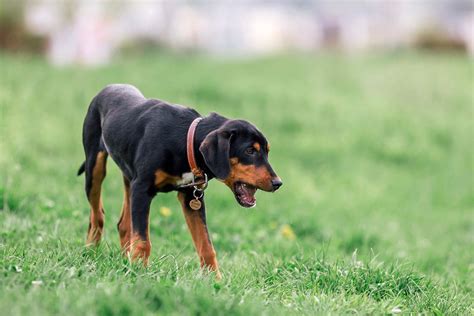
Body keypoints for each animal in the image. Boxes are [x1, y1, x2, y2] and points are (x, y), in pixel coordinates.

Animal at [78, 83, 282, 276]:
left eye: (267, 151)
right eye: (250, 151)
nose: (278, 183)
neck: (185, 141)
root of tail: (108, 87)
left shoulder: (191, 198)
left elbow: (206, 245)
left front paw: (215, 281)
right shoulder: (142, 189)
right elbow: (143, 240)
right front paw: (139, 272)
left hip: (128, 178)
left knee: (123, 224)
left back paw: (124, 259)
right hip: (95, 168)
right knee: (97, 215)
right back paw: (91, 252)